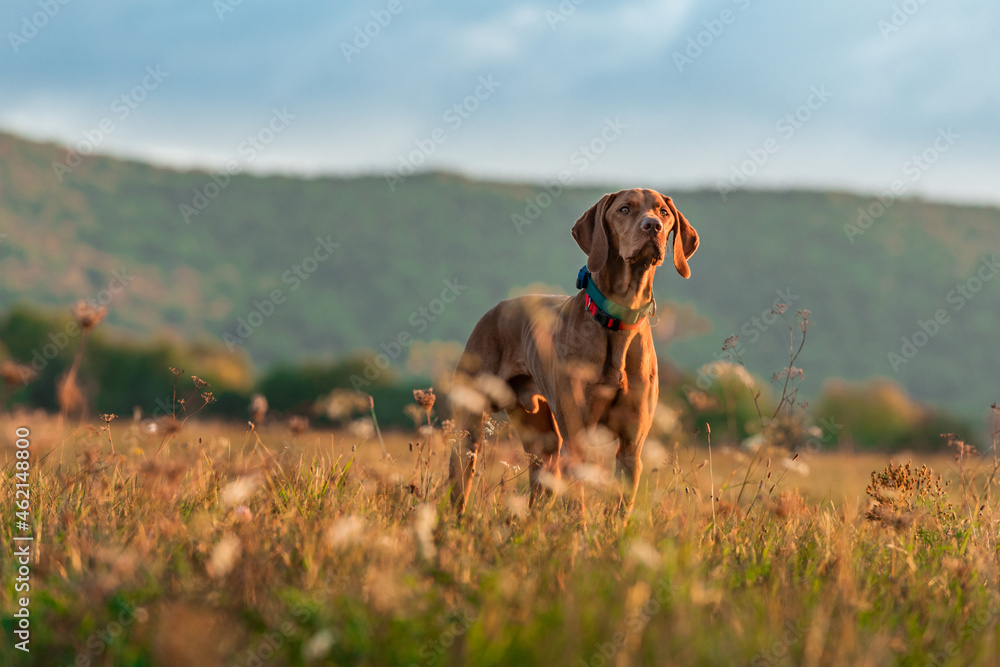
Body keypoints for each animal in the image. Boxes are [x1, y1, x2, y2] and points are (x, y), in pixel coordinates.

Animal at [450, 188, 700, 516]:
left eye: (663, 212)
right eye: (624, 209)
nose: (652, 227)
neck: (619, 318)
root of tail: (496, 308)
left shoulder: (631, 446)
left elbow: (620, 508)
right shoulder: (577, 438)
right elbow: (576, 507)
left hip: (542, 439)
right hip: (469, 424)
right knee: (461, 475)